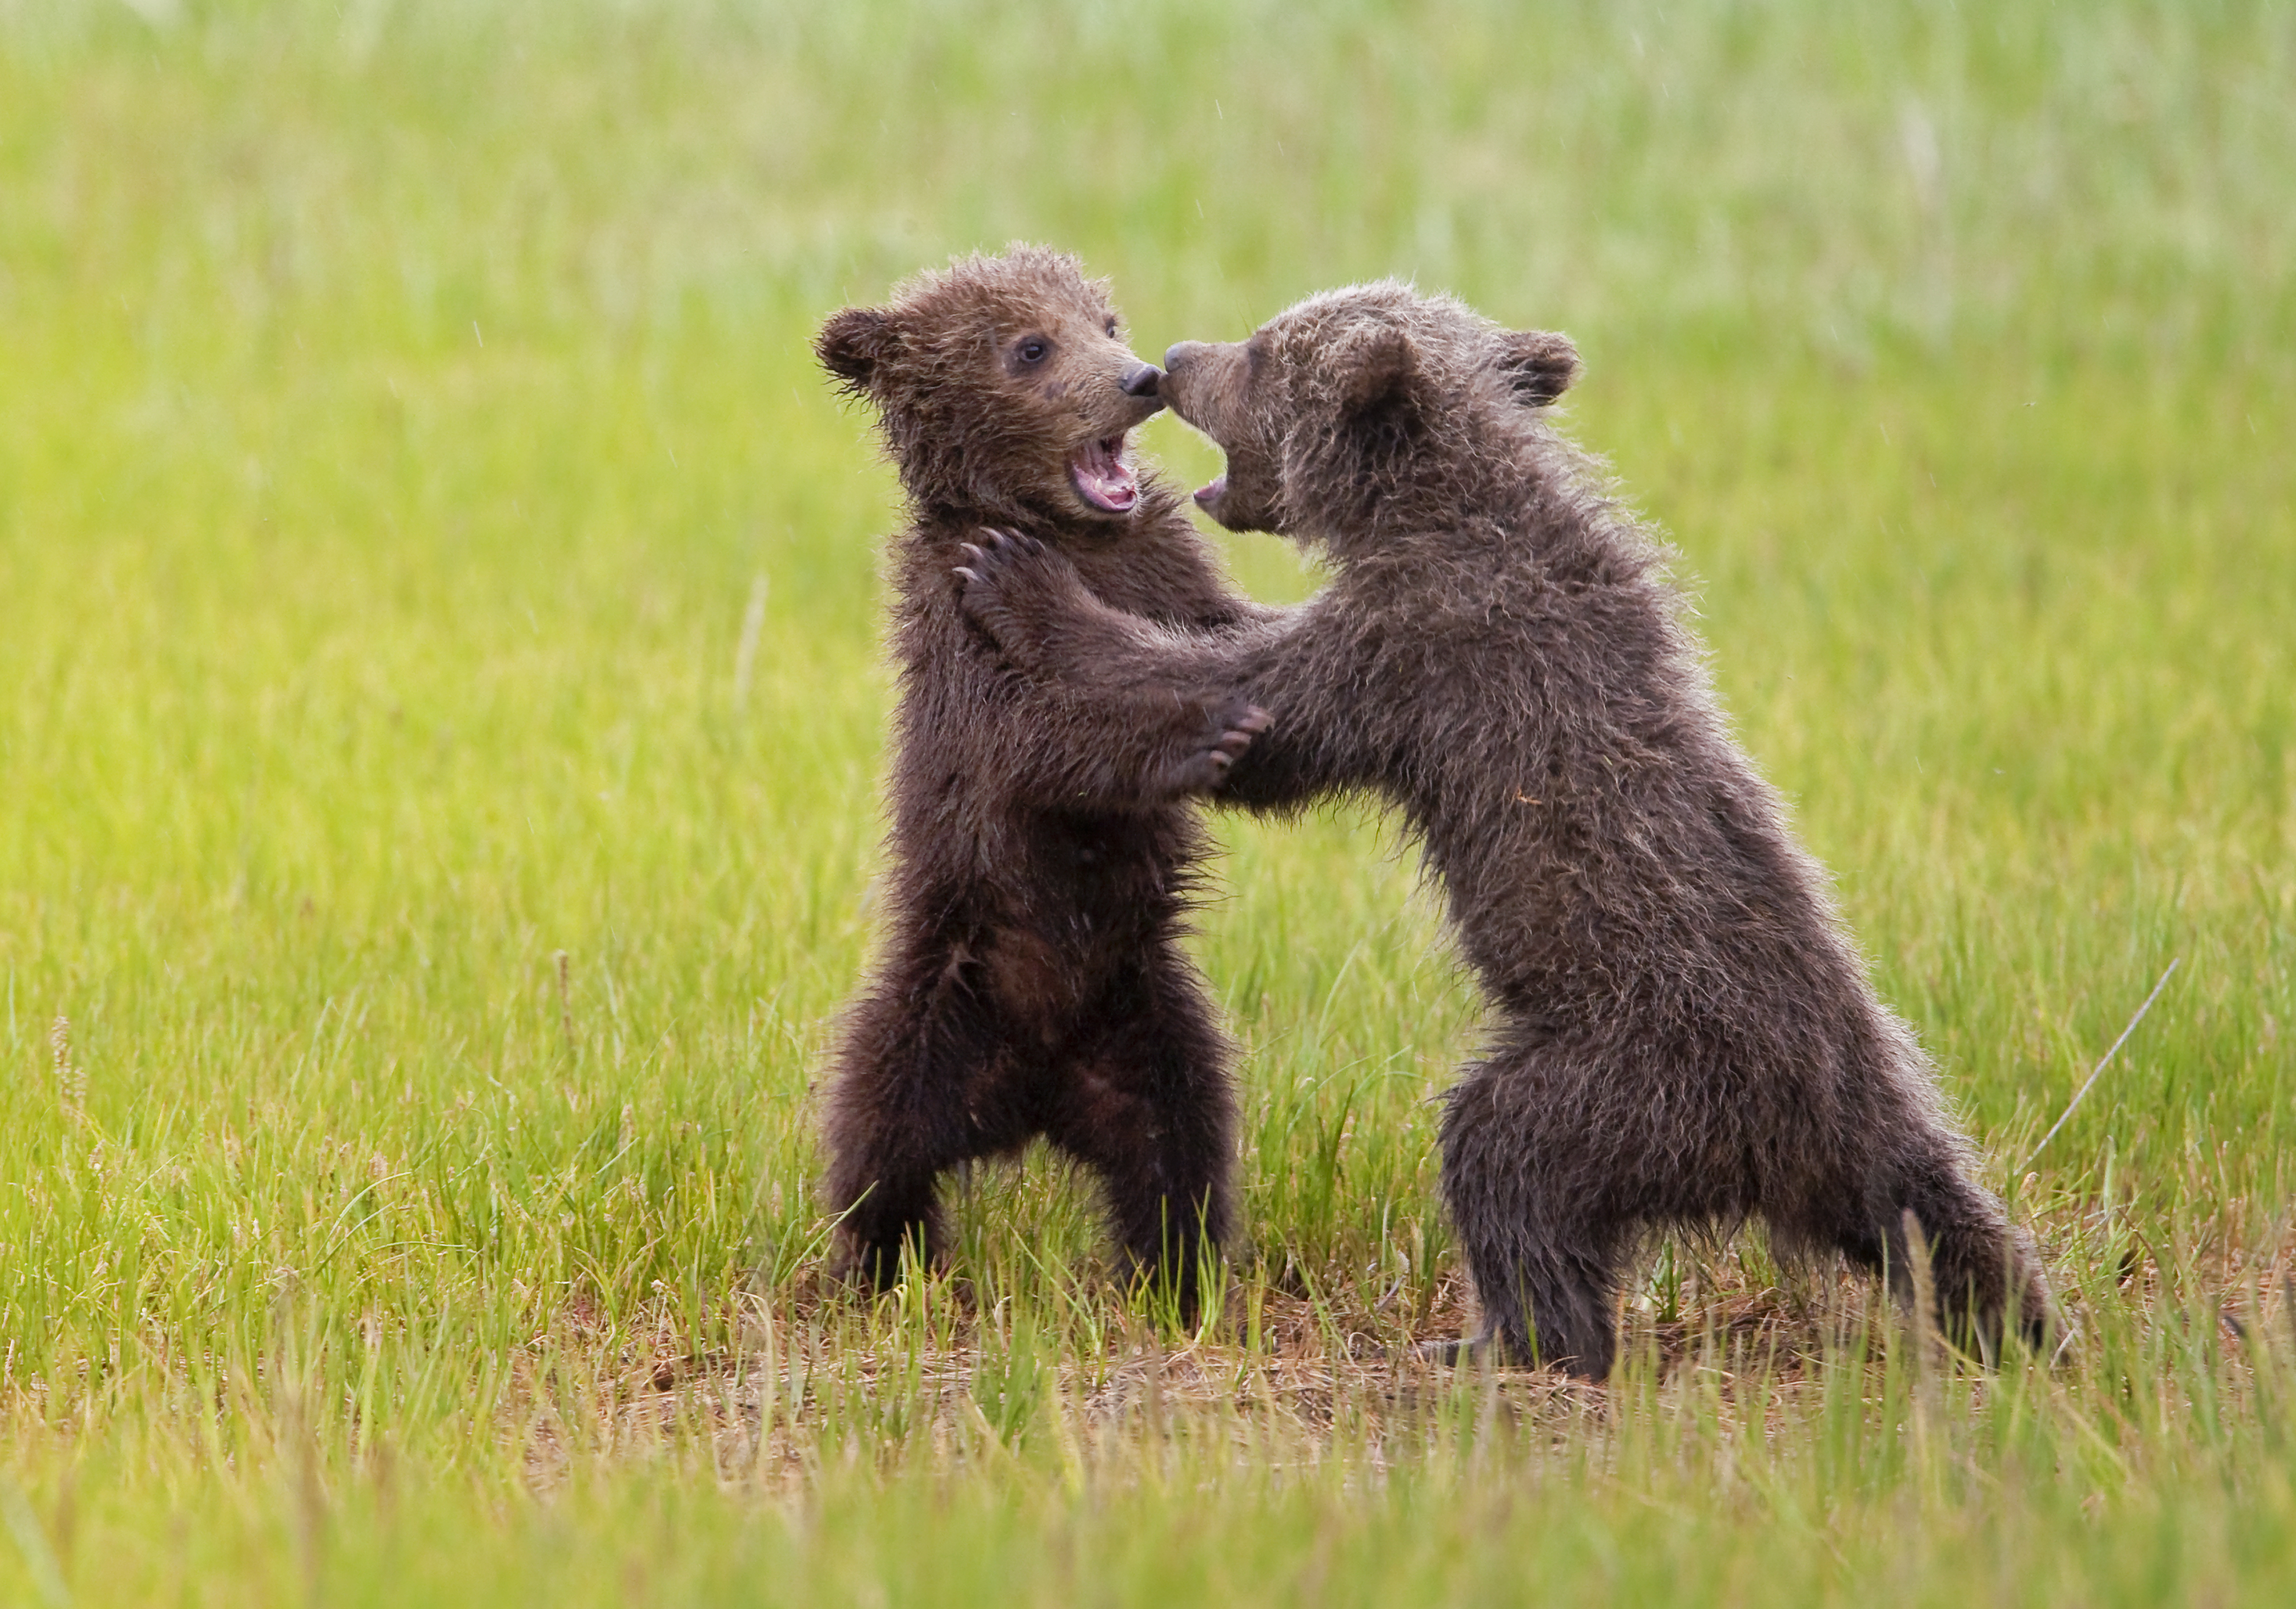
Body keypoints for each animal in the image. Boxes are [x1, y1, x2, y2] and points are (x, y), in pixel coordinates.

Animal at [811, 245, 1271, 1322]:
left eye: (1103, 322)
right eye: (1029, 346)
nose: (1141, 379)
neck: (1068, 532)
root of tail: (1029, 1091)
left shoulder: (1168, 570)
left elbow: (1239, 631)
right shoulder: (954, 633)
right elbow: (1039, 741)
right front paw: (1201, 734)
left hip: (1148, 1016)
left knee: (1180, 1148)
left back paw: (1180, 1279)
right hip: (933, 1000)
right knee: (875, 1144)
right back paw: (880, 1271)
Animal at [953, 280, 2051, 1376]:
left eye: (1265, 351)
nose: (1175, 358)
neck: (1431, 507)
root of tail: (1812, 1131)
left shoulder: (1416, 646)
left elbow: (1240, 700)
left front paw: (1021, 580)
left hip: (1635, 1078)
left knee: (1502, 1150)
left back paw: (1501, 1343)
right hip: (1886, 1112)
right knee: (1947, 1221)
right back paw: (2026, 1323)